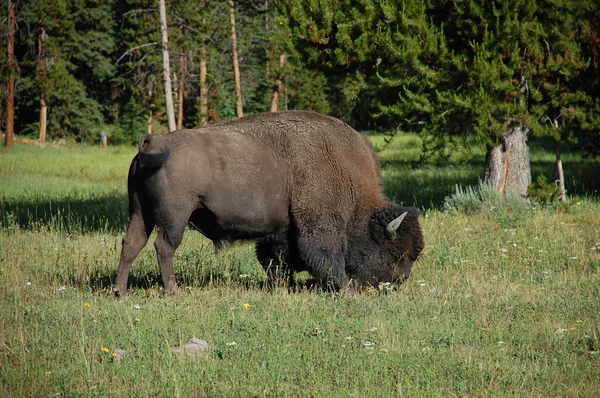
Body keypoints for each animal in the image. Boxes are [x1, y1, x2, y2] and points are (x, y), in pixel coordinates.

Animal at [111, 110, 422, 296]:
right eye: (397, 254)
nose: (398, 282)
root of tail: (153, 143)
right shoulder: (318, 225)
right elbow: (325, 256)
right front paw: (344, 288)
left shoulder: (281, 230)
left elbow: (276, 257)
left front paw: (282, 285)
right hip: (174, 217)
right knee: (164, 247)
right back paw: (173, 291)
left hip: (139, 212)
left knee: (131, 243)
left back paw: (120, 292)